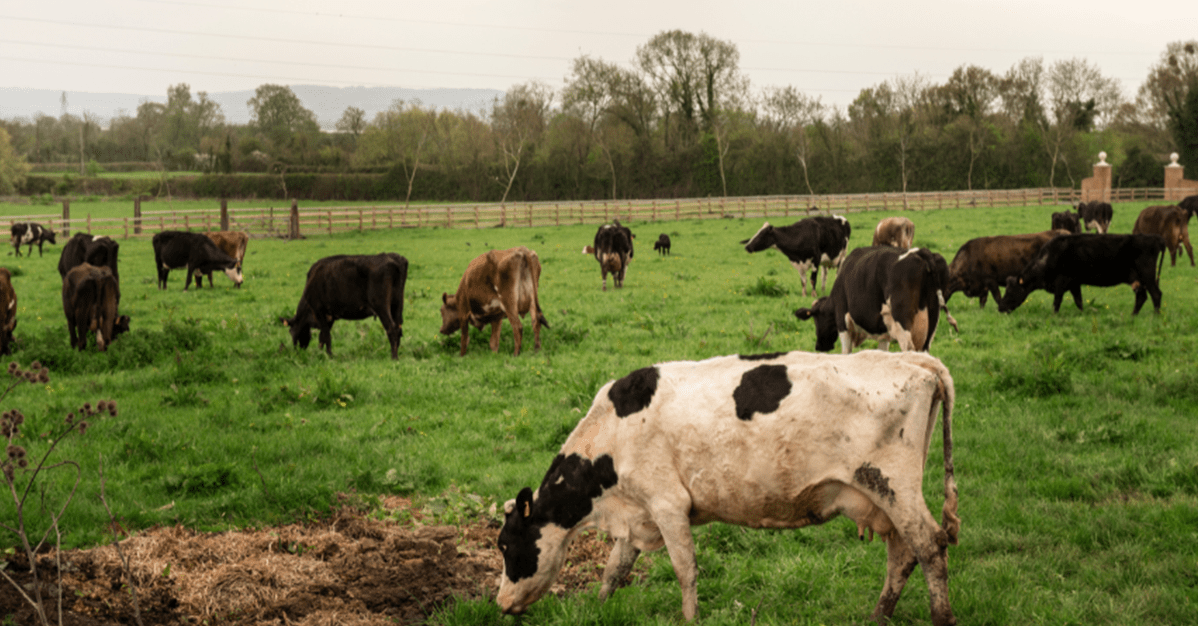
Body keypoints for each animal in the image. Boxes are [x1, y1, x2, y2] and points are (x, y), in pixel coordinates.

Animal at [493, 351, 953, 626]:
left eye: (506, 546)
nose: (500, 603)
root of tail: (911, 360)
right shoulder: (639, 512)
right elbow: (614, 569)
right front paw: (598, 607)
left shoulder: (667, 503)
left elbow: (685, 569)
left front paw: (690, 618)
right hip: (885, 498)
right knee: (903, 553)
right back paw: (879, 615)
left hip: (893, 486)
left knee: (930, 545)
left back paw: (941, 616)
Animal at [795, 246, 953, 354]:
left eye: (816, 319)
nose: (818, 346)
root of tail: (921, 252)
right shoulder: (884, 333)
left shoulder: (843, 324)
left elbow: (845, 353)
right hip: (931, 327)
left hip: (903, 324)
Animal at [996, 233, 1164, 315]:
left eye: (1011, 291)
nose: (1000, 307)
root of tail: (1154, 238)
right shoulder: (1074, 283)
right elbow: (1079, 301)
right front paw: (1083, 314)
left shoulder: (1061, 282)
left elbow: (1057, 302)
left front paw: (1054, 316)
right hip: (1137, 278)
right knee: (1141, 297)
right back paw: (1133, 315)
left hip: (1147, 275)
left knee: (1156, 294)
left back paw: (1155, 316)